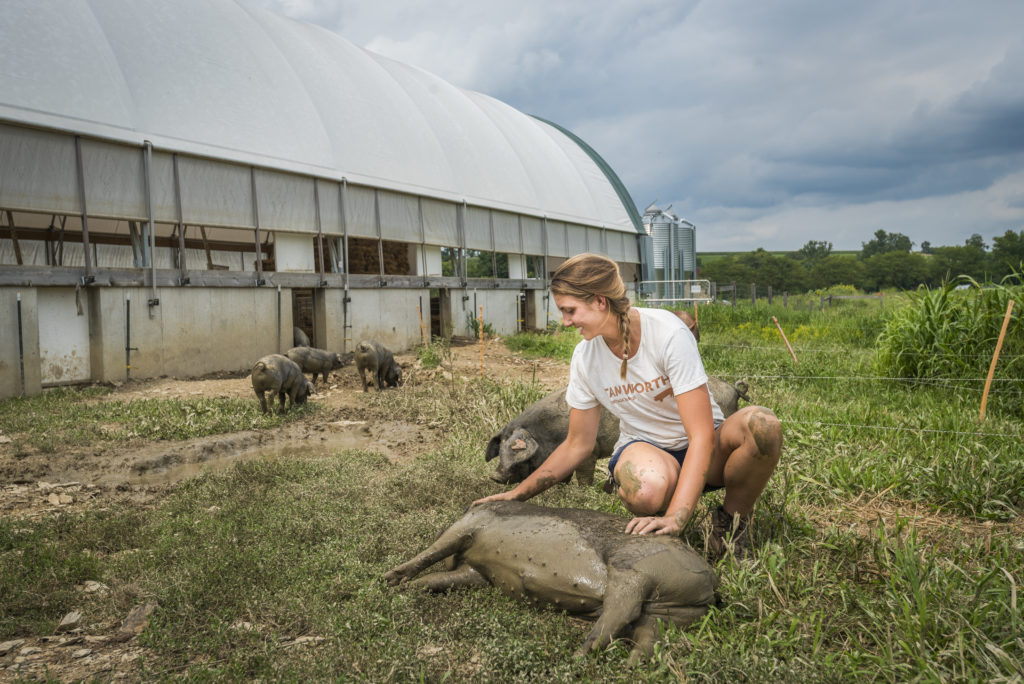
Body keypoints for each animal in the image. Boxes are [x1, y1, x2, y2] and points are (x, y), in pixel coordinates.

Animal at [380, 499, 716, 663]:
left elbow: (435, 549)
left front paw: (389, 580)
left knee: (620, 612)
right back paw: (627, 667)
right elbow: (446, 576)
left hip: (634, 570)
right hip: (667, 614)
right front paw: (408, 587)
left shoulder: (473, 523)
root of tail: (712, 581)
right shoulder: (479, 574)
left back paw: (575, 660)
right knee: (646, 638)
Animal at [483, 374, 749, 485]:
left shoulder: (590, 452)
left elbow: (583, 474)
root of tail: (734, 389)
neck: (548, 433)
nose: (495, 477)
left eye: (520, 456)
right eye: (501, 451)